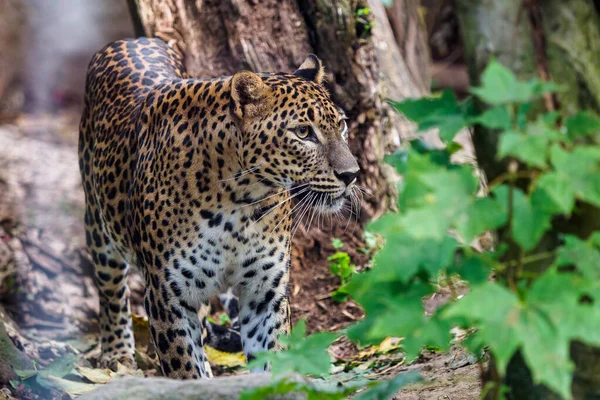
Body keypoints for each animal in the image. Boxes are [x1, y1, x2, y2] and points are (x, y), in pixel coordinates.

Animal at [79, 36, 360, 378]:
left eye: (341, 125)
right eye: (303, 132)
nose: (351, 174)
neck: (239, 203)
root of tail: (131, 39)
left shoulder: (265, 291)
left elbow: (273, 362)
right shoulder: (166, 296)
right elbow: (184, 368)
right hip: (98, 226)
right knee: (110, 291)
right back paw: (116, 353)